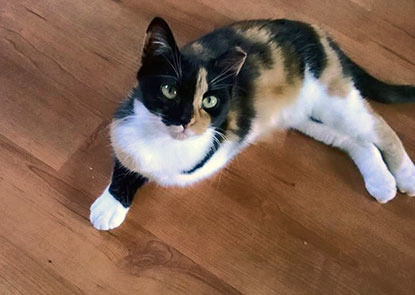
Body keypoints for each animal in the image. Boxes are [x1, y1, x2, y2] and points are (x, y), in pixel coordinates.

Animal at [90, 16, 415, 231]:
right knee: (355, 139)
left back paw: (406, 176)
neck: (160, 137)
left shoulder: (206, 147)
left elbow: (161, 169)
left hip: (332, 97)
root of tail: (317, 31)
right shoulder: (123, 122)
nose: (185, 121)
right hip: (305, 115)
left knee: (379, 127)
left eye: (210, 100)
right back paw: (381, 182)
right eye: (169, 90)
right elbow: (128, 160)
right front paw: (111, 202)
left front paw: (108, 207)